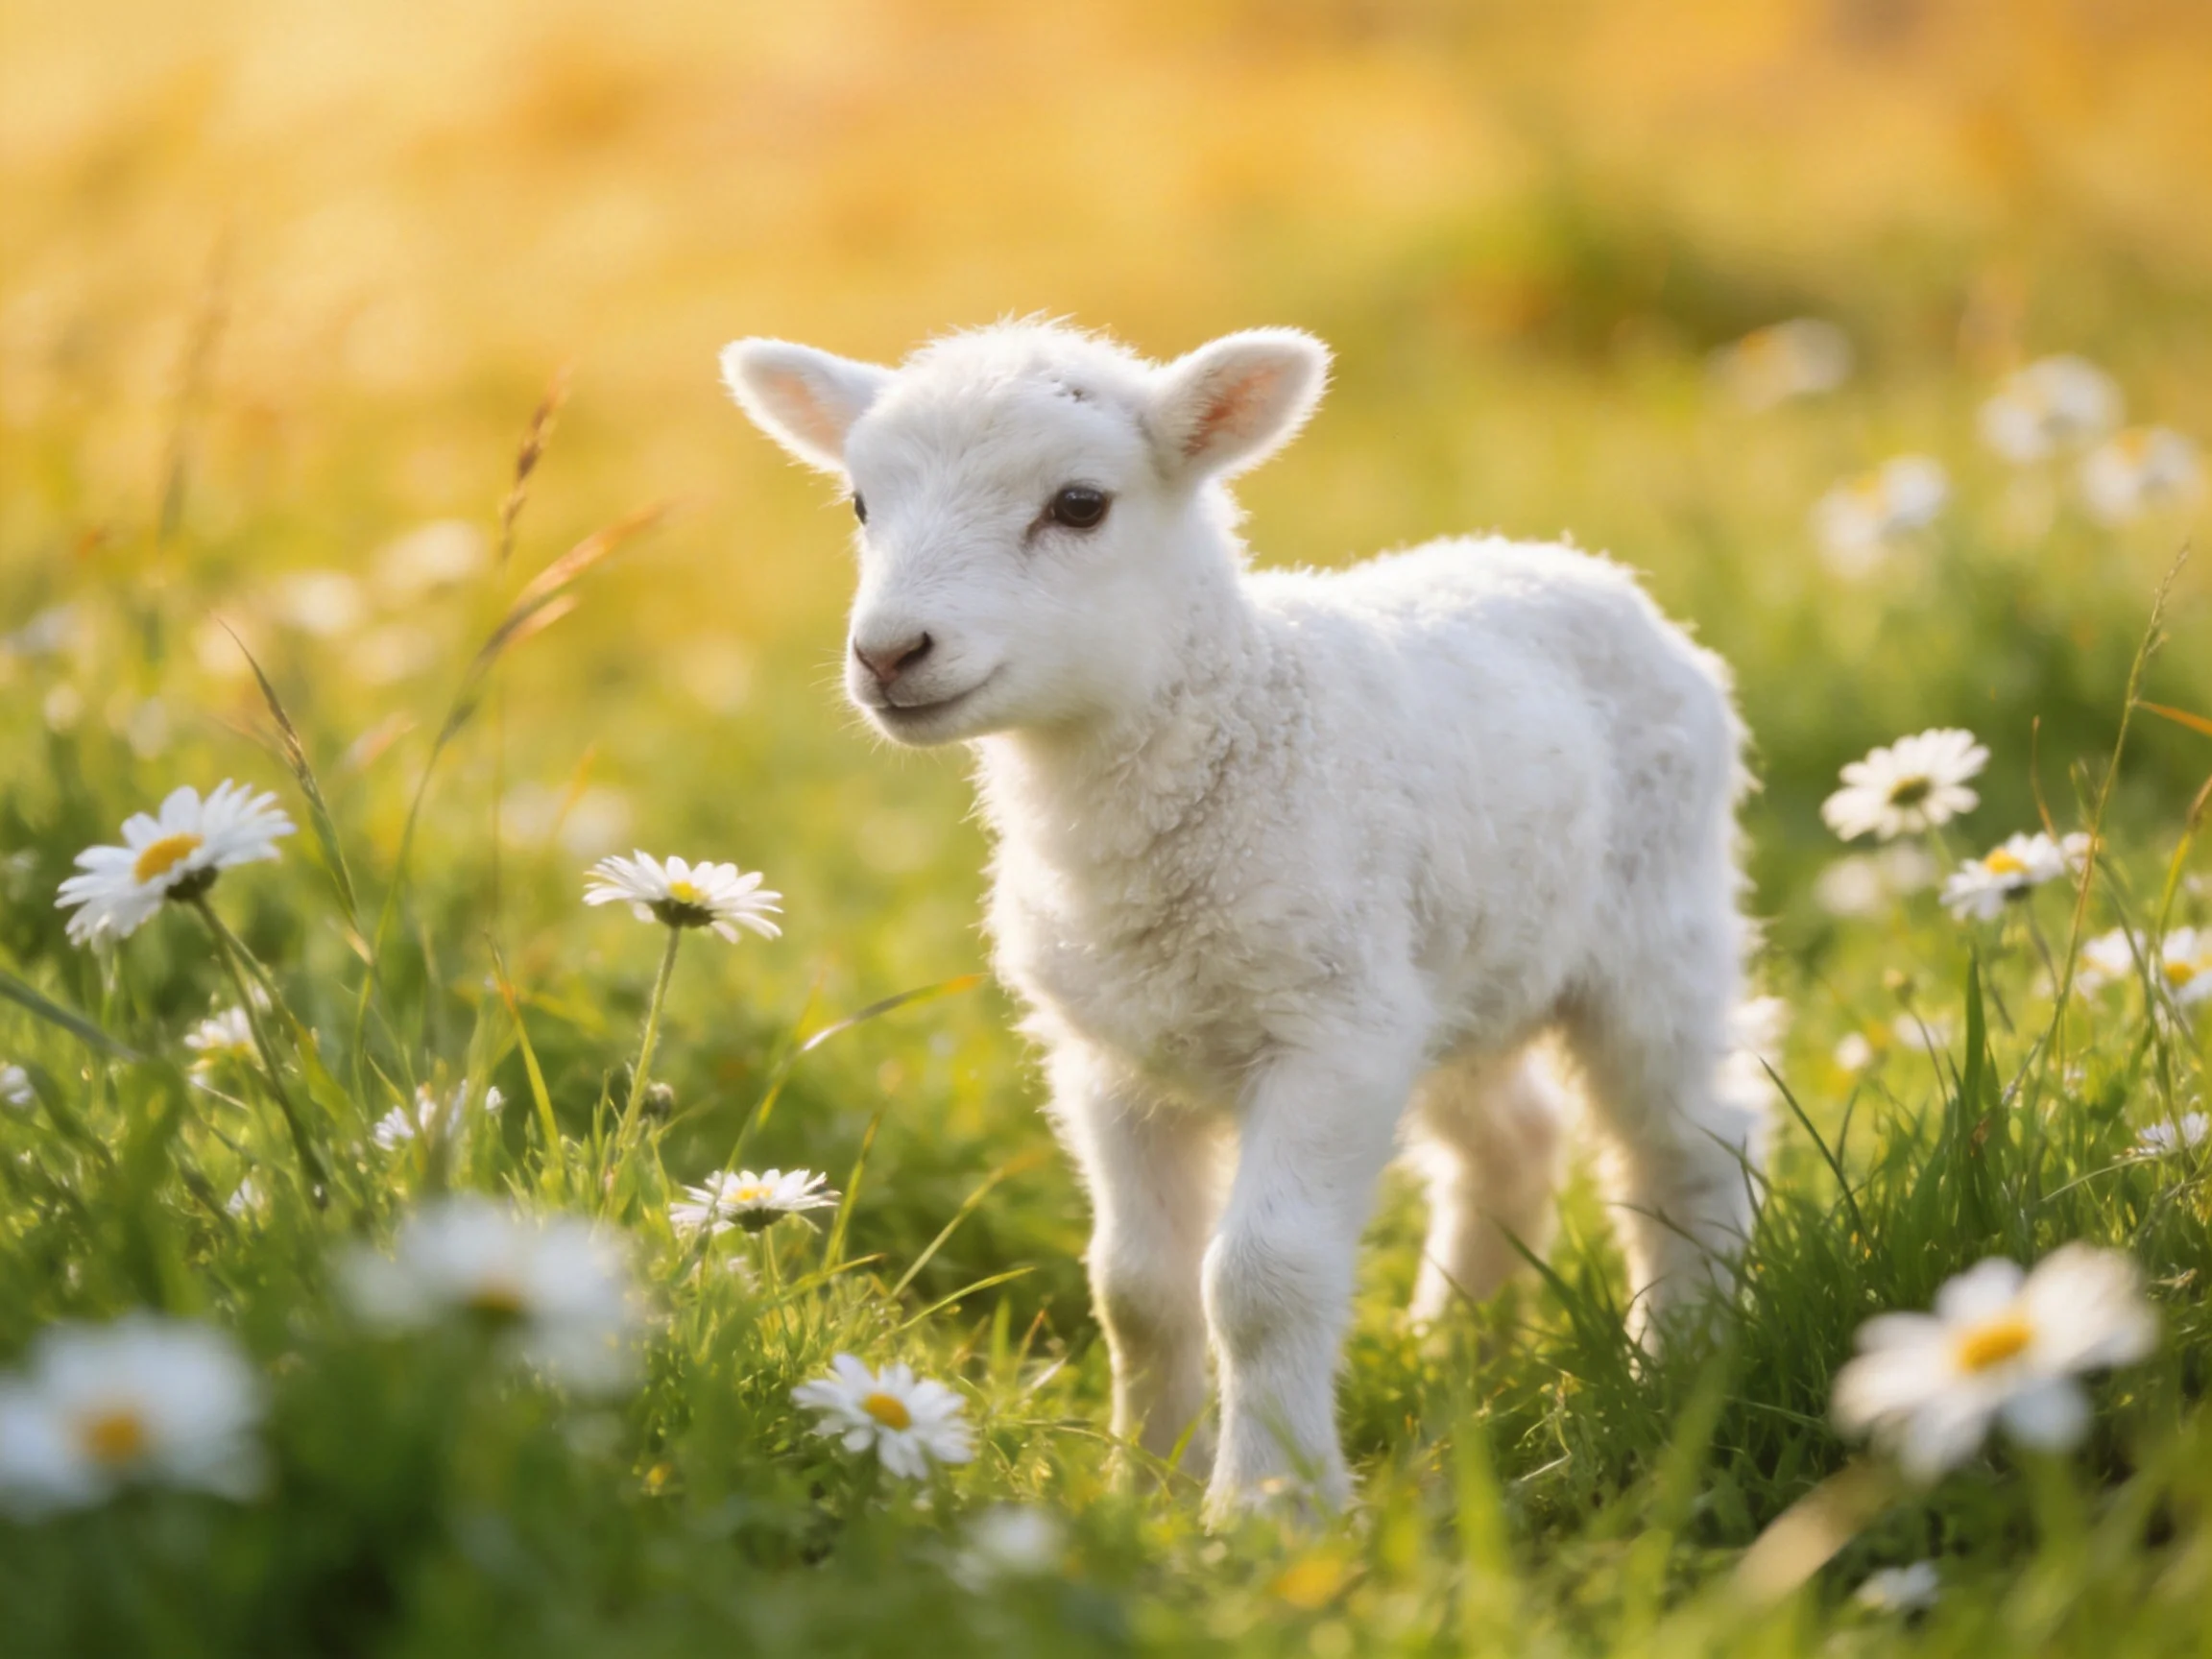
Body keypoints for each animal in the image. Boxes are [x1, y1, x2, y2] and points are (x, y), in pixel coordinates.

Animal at [720, 320, 1767, 1521]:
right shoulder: (1112, 1057)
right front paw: (1145, 1485)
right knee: (1512, 1138)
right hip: (1458, 966)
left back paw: (1683, 1363)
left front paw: (1271, 1508)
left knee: (1690, 1140)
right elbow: (1136, 1287)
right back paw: (1459, 1350)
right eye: (859, 503)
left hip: (1654, 926)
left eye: (1080, 504)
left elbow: (1261, 1279)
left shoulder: (1329, 1037)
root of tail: (1571, 560)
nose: (890, 654)